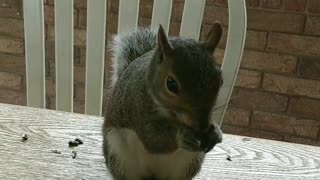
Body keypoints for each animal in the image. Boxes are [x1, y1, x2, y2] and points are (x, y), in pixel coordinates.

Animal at [104, 21, 224, 180]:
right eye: (171, 84)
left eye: (220, 80)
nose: (203, 126)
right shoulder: (137, 108)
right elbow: (153, 140)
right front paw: (182, 136)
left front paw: (216, 132)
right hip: (118, 154)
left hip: (188, 162)